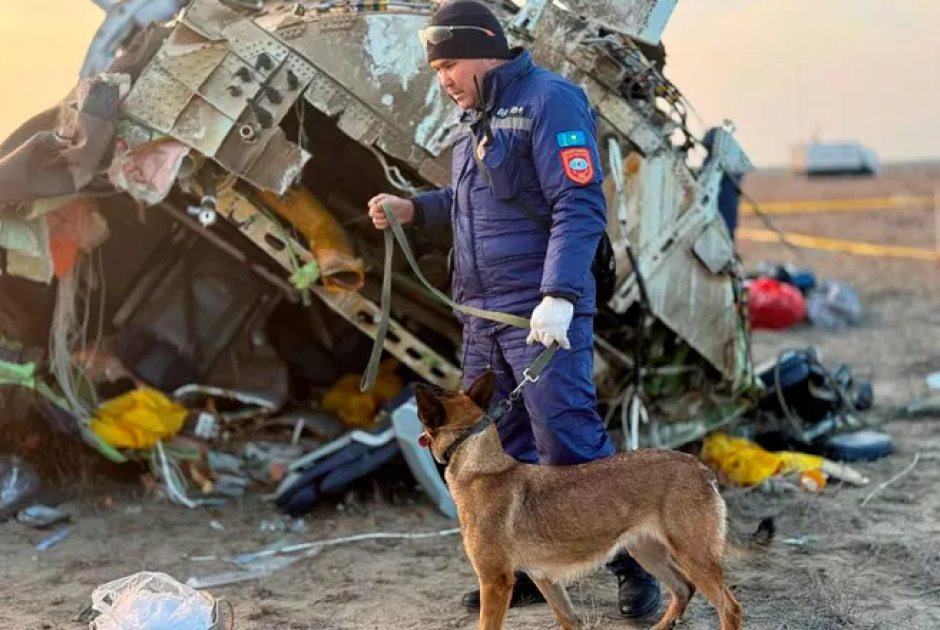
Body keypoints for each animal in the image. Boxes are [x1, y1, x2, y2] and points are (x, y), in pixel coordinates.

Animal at [414, 370, 776, 630]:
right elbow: (568, 620)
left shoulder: (495, 582)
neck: (479, 464)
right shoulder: (545, 579)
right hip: (647, 551)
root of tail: (699, 467)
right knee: (683, 589)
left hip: (693, 556)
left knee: (729, 607)